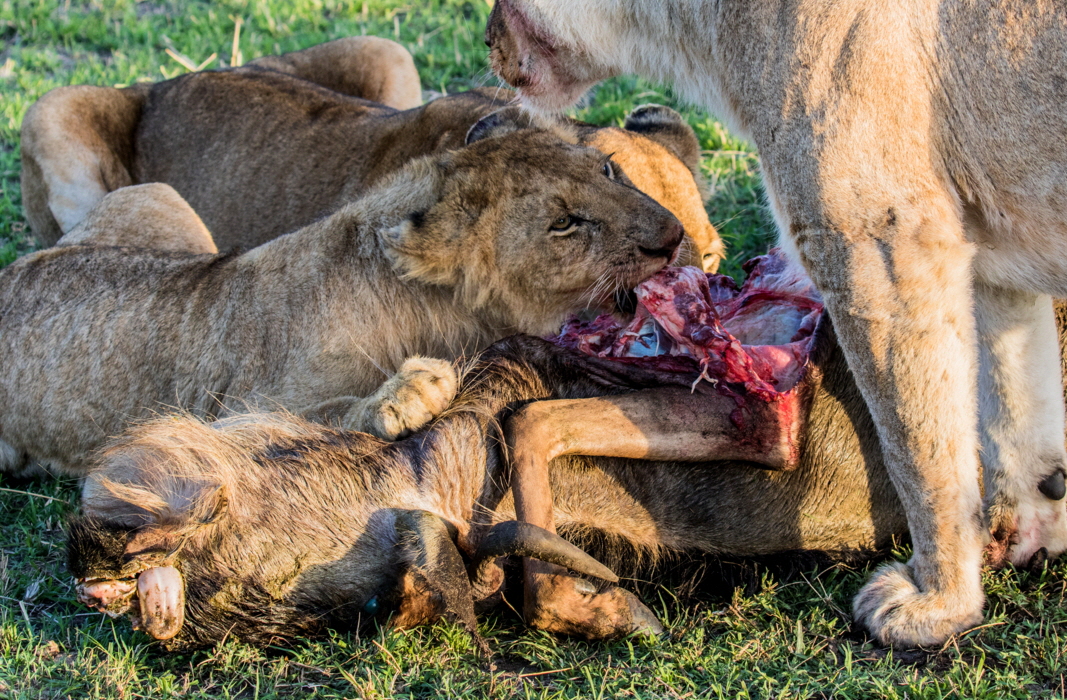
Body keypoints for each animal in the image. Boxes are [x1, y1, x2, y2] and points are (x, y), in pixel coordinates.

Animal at [0, 117, 682, 478]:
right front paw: (407, 394)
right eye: (564, 223)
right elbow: (313, 415)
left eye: (609, 171)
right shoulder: (217, 414)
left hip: (155, 196)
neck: (438, 312)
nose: (673, 236)